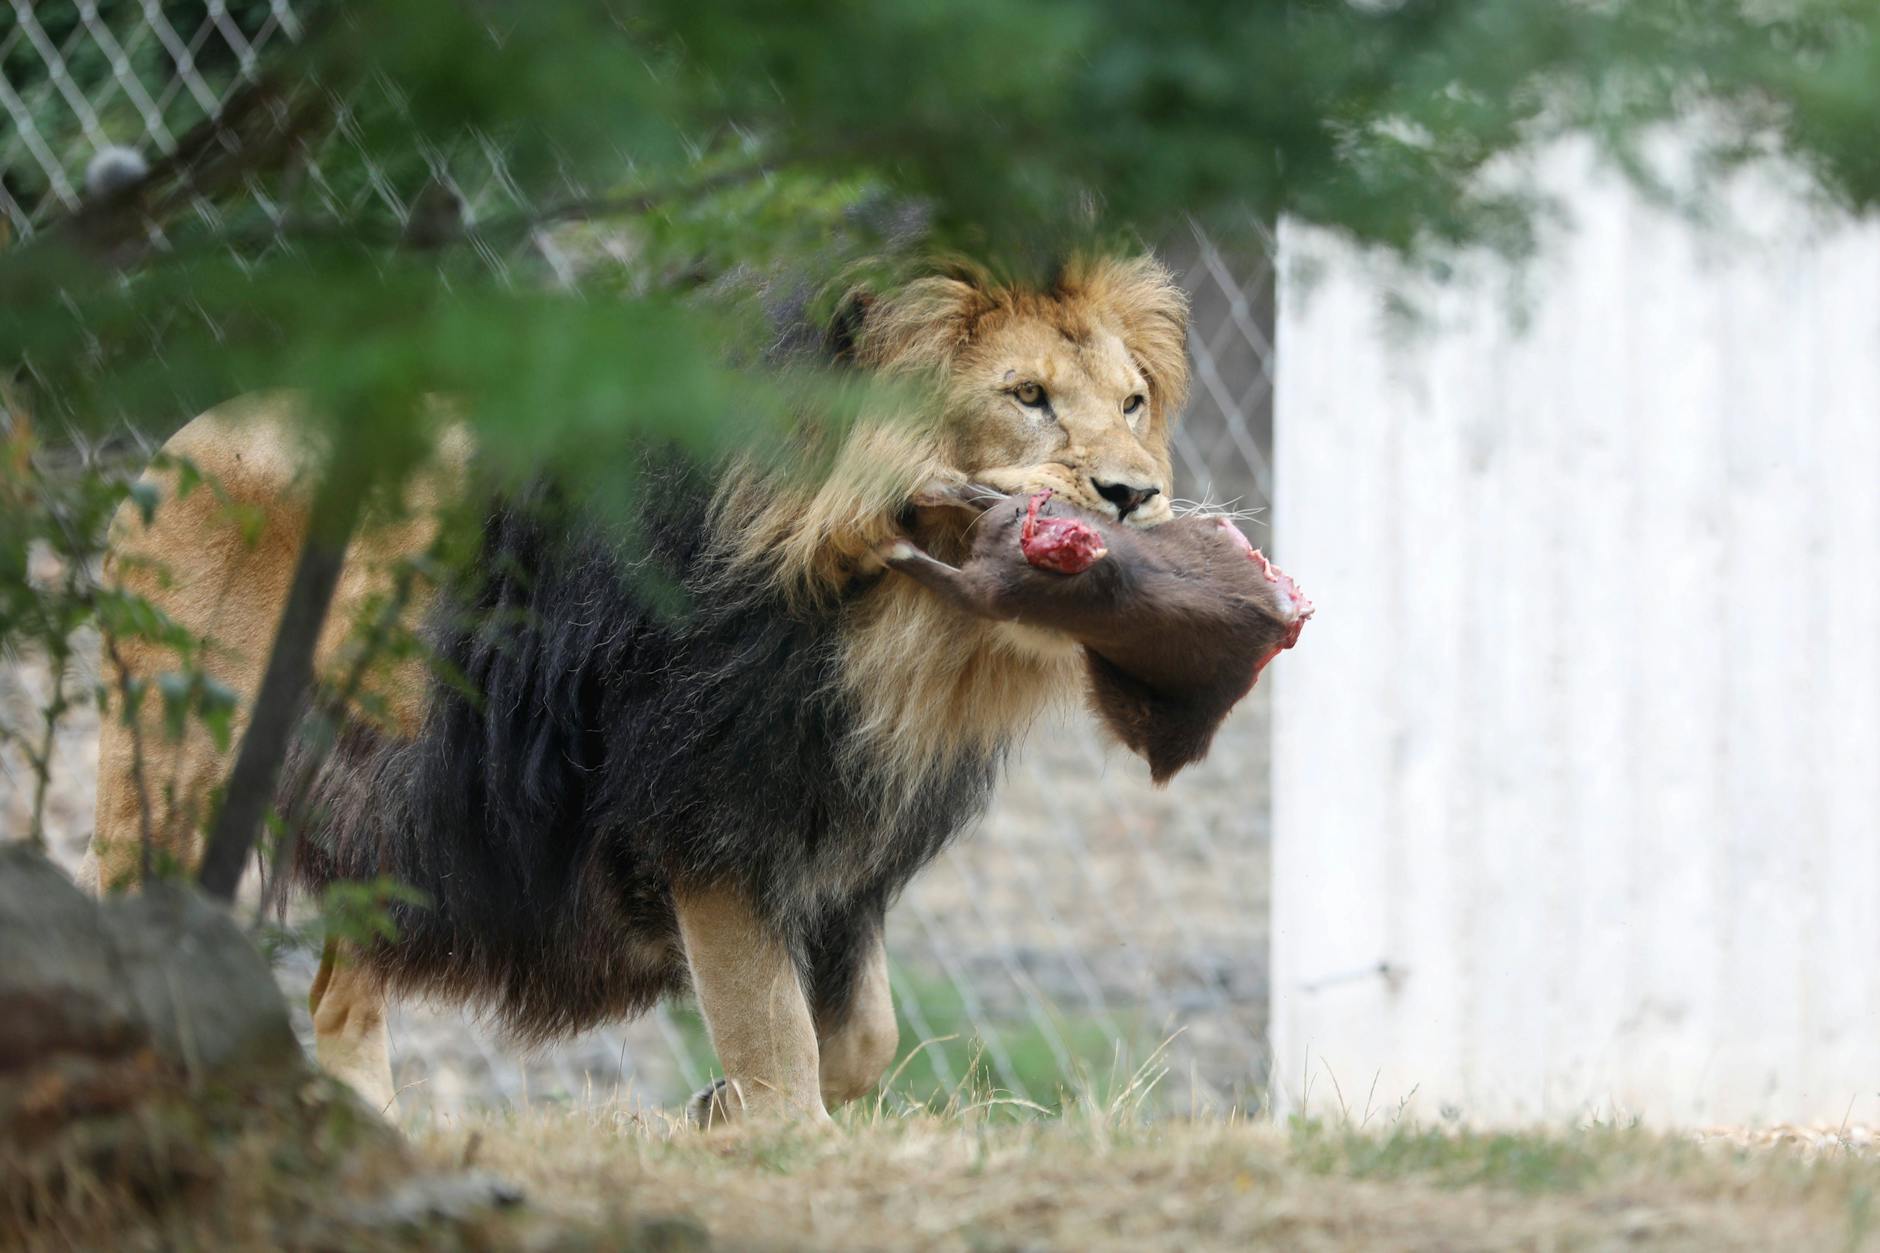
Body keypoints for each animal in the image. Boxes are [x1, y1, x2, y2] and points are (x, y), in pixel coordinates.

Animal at [86, 256, 1191, 1124]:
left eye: (1132, 401)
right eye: (1026, 395)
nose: (1134, 493)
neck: (898, 626)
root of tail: (183, 436)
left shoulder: (839, 852)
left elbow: (860, 1040)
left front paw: (714, 1110)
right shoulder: (705, 818)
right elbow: (779, 1043)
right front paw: (769, 1132)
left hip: (382, 811)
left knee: (335, 1000)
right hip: (173, 771)